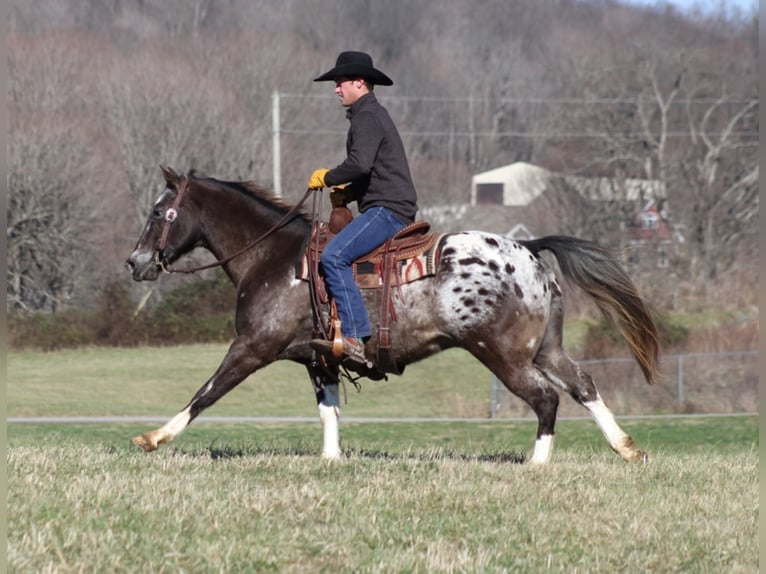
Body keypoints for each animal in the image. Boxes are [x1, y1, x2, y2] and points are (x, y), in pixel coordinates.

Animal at [124, 166, 660, 468]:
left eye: (158, 212)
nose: (134, 263)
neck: (273, 258)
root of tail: (526, 249)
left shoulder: (253, 347)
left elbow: (206, 393)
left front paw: (154, 437)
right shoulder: (318, 358)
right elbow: (329, 409)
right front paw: (331, 459)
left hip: (503, 355)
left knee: (546, 398)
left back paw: (537, 463)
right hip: (546, 349)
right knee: (583, 385)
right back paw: (626, 448)